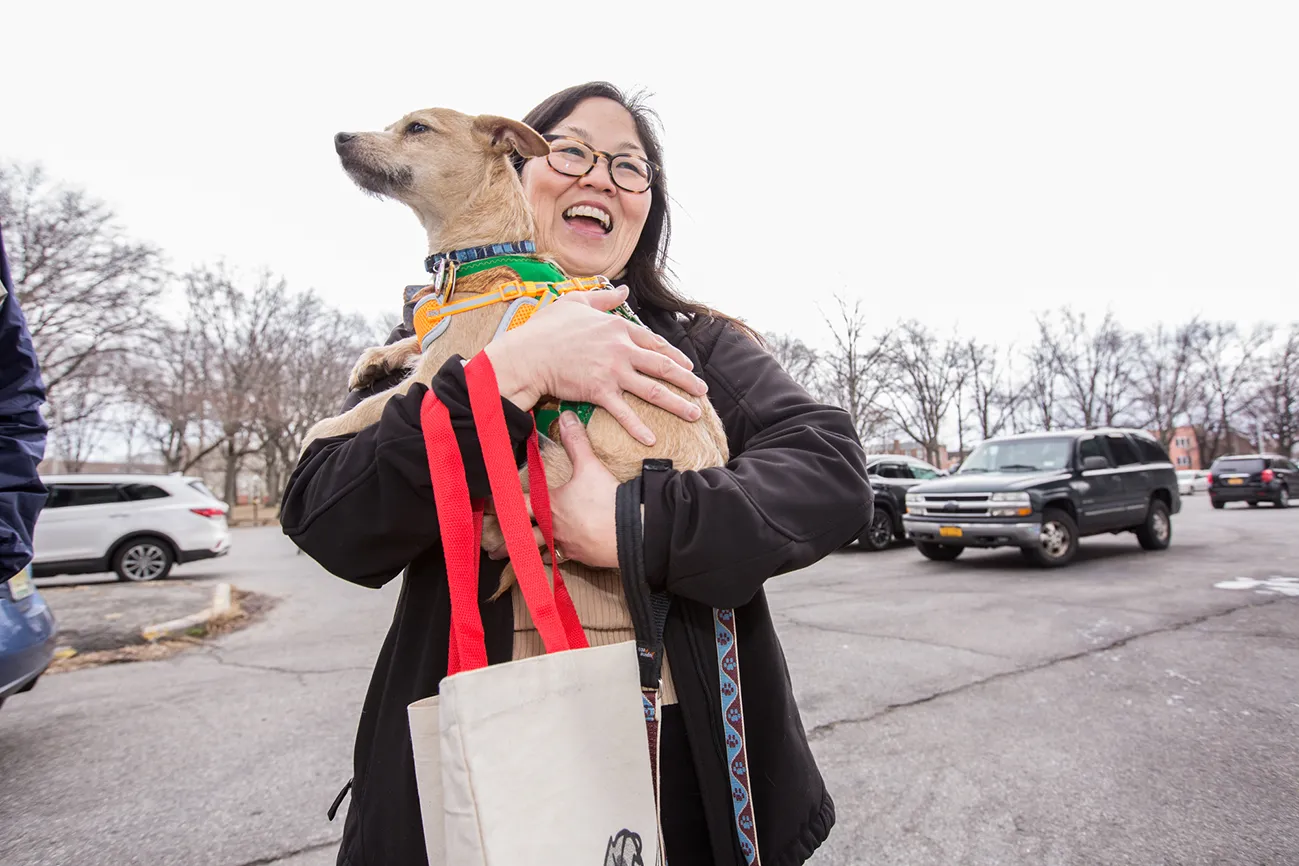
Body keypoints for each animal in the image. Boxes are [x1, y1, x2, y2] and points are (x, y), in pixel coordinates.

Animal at [303, 106, 732, 597]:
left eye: (417, 128)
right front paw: (372, 359)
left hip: (548, 458)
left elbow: (371, 407)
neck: (480, 256)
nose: (340, 138)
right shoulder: (436, 342)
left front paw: (319, 430)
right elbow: (410, 339)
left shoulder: (433, 376)